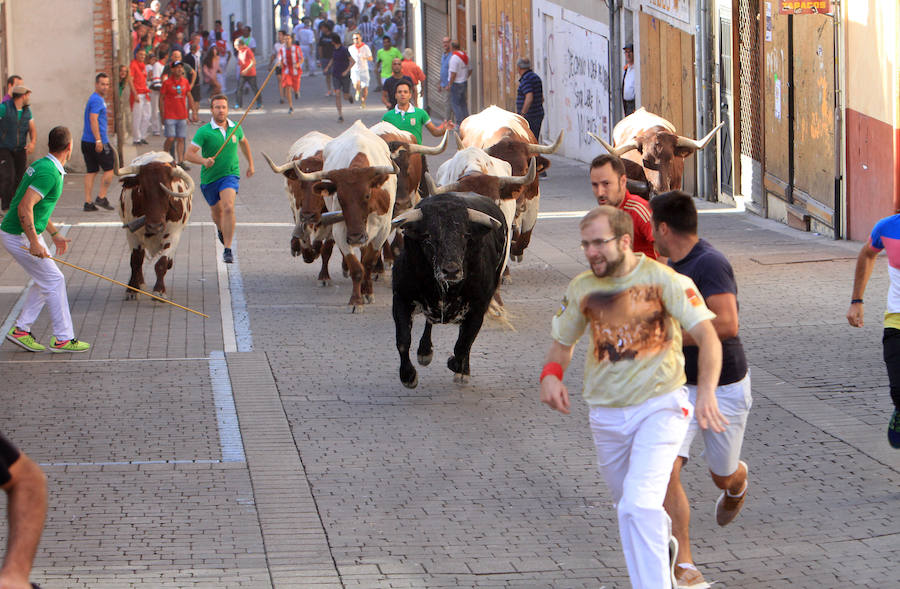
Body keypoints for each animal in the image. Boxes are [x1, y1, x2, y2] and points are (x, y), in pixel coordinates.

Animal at [392, 192, 510, 386]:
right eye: (427, 236)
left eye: (465, 235)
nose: (451, 270)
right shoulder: (401, 298)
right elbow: (403, 340)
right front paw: (408, 376)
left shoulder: (478, 309)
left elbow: (462, 345)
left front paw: (457, 366)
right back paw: (425, 352)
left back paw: (461, 370)